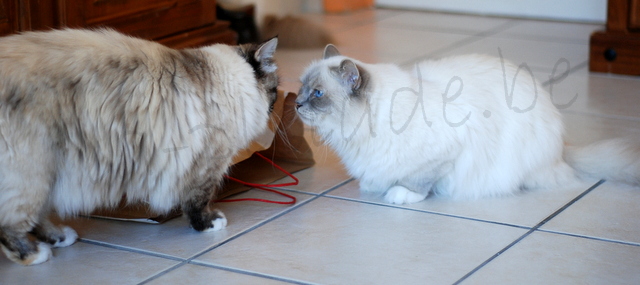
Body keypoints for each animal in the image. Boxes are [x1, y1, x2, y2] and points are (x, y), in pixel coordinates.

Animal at [0, 28, 280, 264]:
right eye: (275, 91)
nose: (274, 108)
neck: (227, 80)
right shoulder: (207, 165)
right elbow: (198, 202)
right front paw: (210, 224)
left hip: (47, 177)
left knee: (37, 217)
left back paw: (60, 237)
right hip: (33, 176)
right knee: (11, 225)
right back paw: (36, 255)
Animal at [296, 44, 640, 203]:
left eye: (317, 94)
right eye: (301, 88)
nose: (297, 104)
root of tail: (561, 149)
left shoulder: (443, 153)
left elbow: (417, 181)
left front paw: (399, 194)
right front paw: (372, 185)